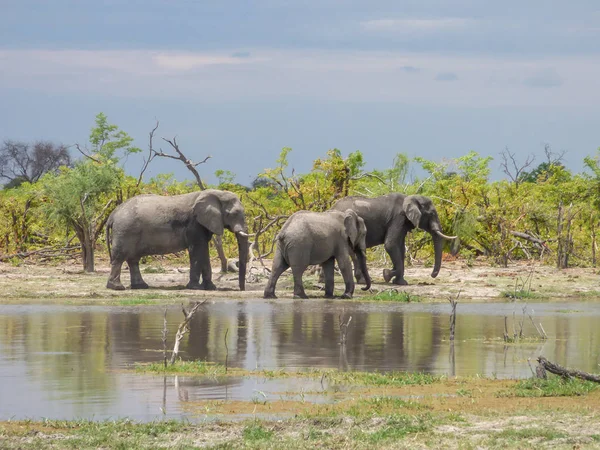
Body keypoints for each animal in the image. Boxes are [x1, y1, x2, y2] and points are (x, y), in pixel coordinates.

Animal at [105, 188, 248, 290]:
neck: (216, 193)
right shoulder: (194, 224)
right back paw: (117, 287)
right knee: (119, 257)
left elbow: (204, 252)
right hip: (125, 230)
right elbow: (197, 250)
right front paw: (195, 288)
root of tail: (112, 214)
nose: (241, 289)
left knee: (133, 260)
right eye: (233, 214)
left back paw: (140, 286)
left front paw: (211, 288)